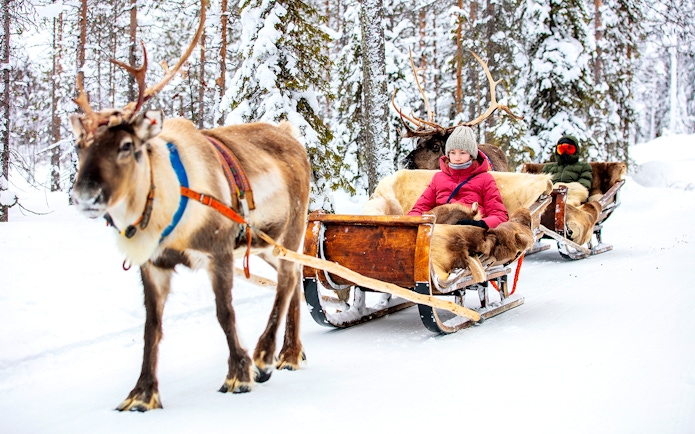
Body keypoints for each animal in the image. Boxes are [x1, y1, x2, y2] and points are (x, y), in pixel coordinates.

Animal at [69, 0, 311, 411]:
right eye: (79, 145)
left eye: (126, 146)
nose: (85, 196)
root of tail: (290, 134)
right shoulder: (153, 266)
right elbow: (151, 328)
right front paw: (142, 394)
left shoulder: (219, 251)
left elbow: (225, 313)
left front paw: (240, 373)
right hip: (265, 244)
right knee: (293, 278)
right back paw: (290, 353)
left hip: (291, 227)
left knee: (289, 279)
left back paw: (266, 355)